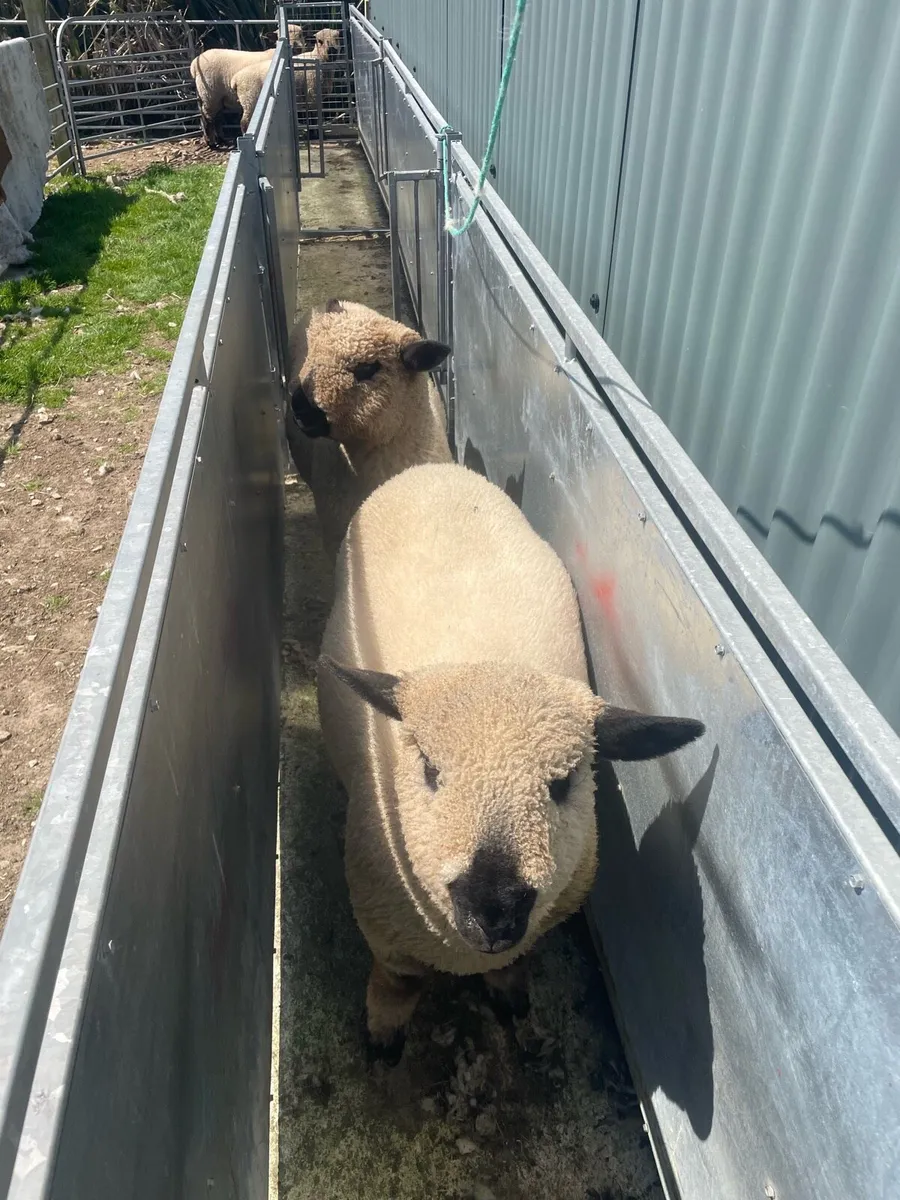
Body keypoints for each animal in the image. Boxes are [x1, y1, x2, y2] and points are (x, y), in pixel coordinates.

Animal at [315, 462, 706, 1063]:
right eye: (430, 770)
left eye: (564, 782)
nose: (494, 907)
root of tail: (433, 468)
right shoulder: (384, 928)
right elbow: (399, 983)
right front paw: (383, 1034)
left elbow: (514, 964)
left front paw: (510, 996)